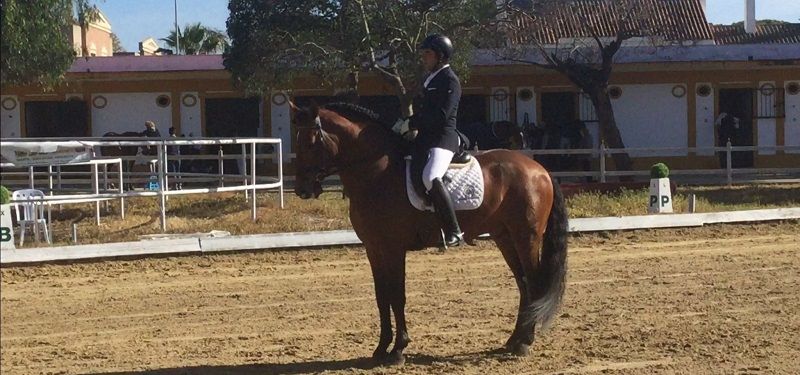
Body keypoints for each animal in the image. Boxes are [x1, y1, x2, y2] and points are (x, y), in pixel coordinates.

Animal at [290, 101, 564, 366]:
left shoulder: (394, 248)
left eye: (311, 142)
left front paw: (398, 350)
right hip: (505, 237)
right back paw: (514, 340)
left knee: (534, 282)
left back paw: (525, 342)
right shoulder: (374, 249)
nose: (302, 189)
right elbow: (382, 297)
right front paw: (380, 348)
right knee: (524, 284)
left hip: (526, 236)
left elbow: (397, 296)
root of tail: (539, 169)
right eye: (297, 140)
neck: (376, 173)